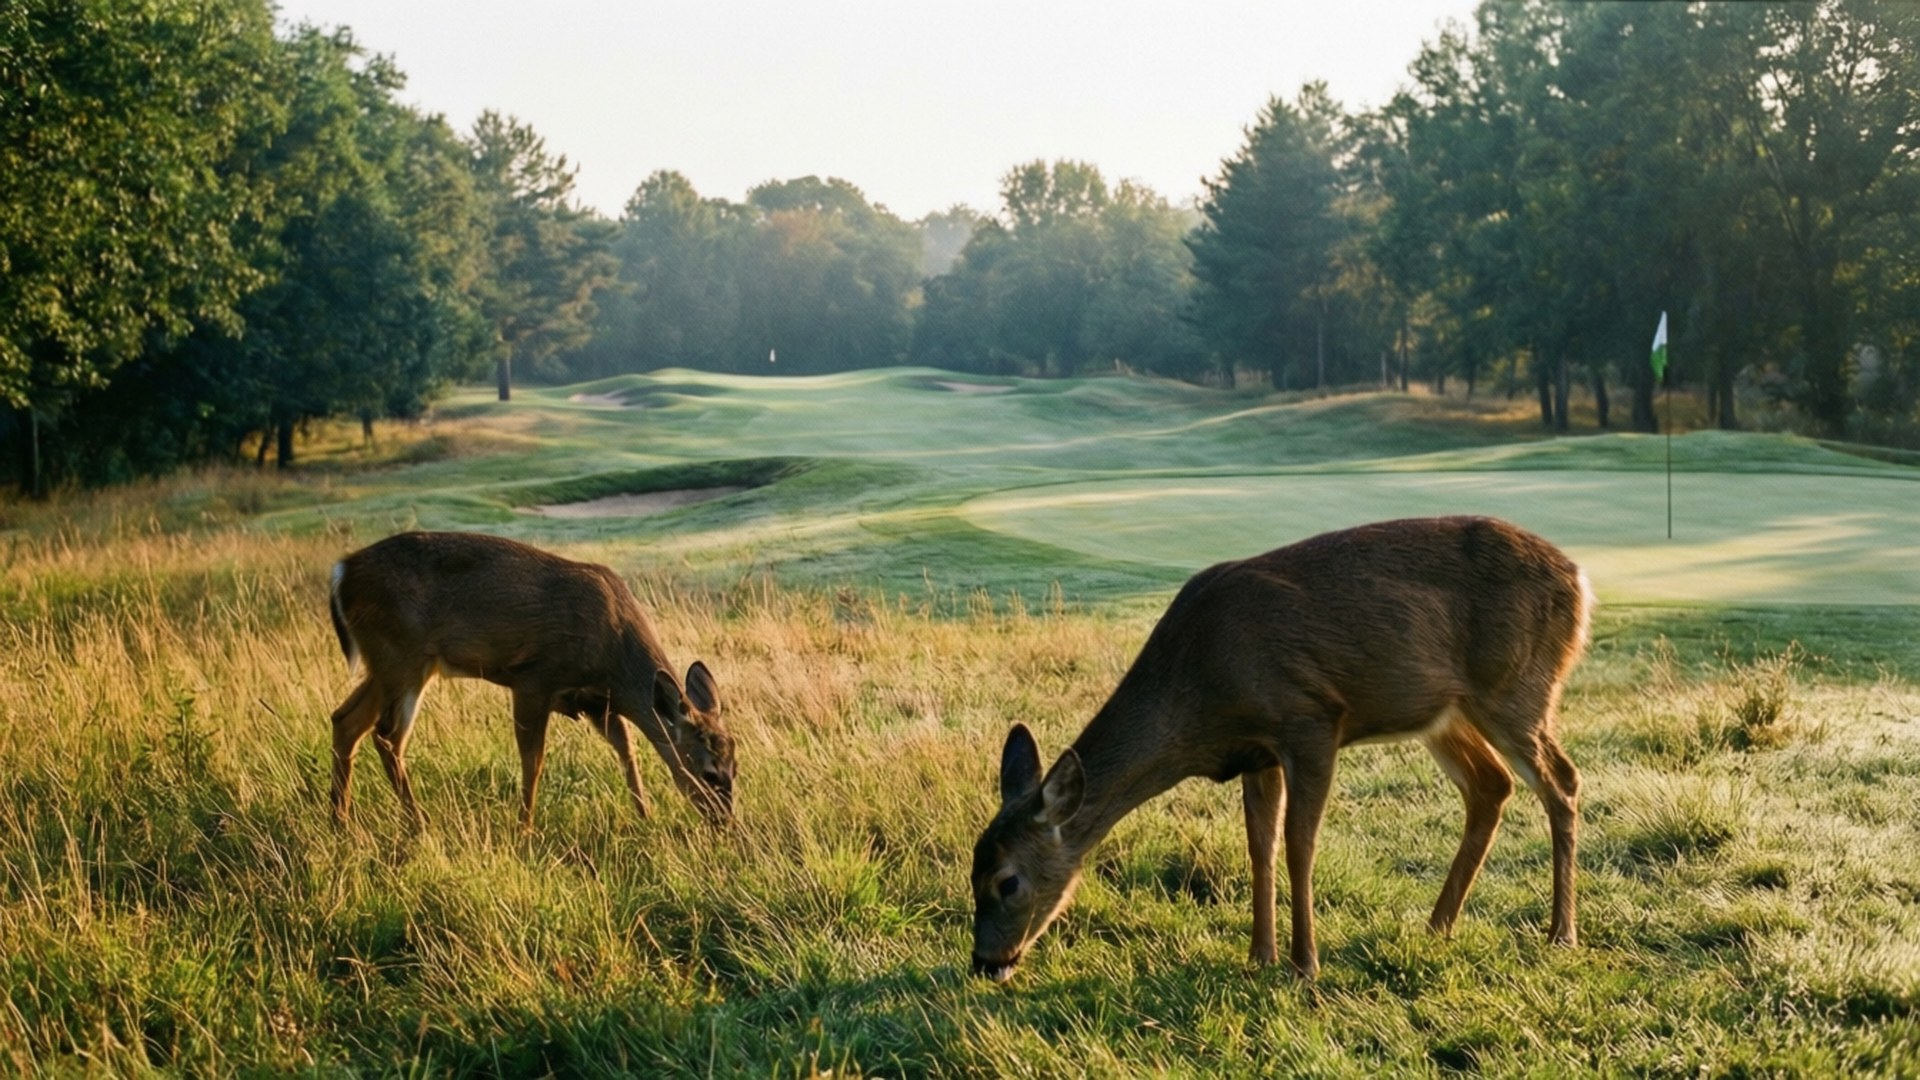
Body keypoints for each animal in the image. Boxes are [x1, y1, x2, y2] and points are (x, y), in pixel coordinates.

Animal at [326, 530, 735, 830]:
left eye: (736, 768)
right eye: (710, 773)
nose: (725, 823)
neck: (615, 657)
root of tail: (341, 573)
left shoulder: (597, 702)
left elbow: (627, 751)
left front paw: (644, 816)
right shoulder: (534, 680)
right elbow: (533, 760)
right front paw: (524, 829)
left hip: (390, 664)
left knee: (346, 719)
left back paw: (340, 821)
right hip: (403, 655)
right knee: (386, 735)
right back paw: (418, 824)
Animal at [969, 516, 1591, 982]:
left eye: (1007, 881)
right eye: (972, 874)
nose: (985, 963)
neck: (1200, 693)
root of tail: (1580, 580)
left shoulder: (1309, 718)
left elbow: (1298, 843)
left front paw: (1302, 963)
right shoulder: (1256, 752)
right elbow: (1259, 847)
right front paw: (1259, 955)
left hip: (1516, 686)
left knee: (1562, 778)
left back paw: (1561, 933)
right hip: (1445, 713)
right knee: (1492, 785)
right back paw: (1437, 925)